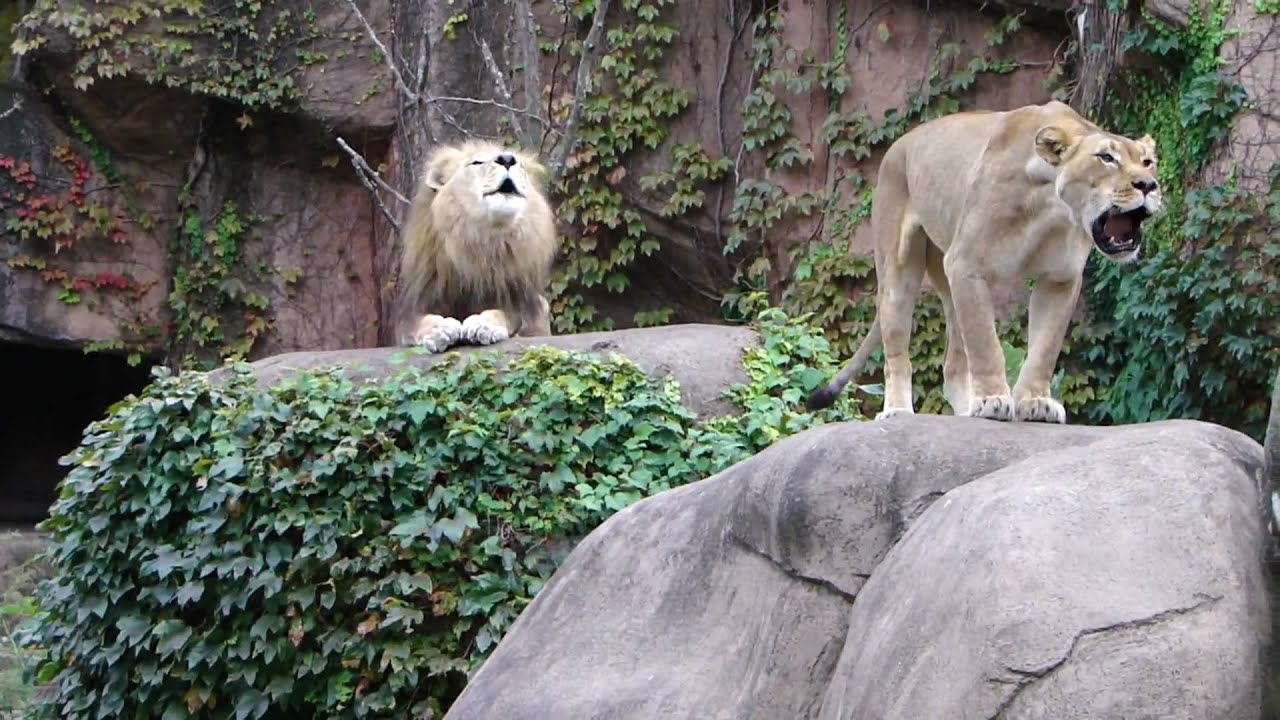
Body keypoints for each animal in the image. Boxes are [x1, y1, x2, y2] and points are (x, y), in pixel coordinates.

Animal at [393, 140, 559, 352]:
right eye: (477, 162)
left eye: (520, 164)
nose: (508, 159)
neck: (481, 241)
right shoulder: (418, 305)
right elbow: (416, 323)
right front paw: (439, 329)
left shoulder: (523, 306)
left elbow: (505, 314)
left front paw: (484, 325)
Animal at [807, 101, 1161, 423]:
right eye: (1106, 158)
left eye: (1147, 162)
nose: (1148, 184)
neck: (1052, 209)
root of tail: (898, 144)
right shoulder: (966, 265)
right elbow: (985, 343)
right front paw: (993, 400)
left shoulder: (1060, 279)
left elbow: (1044, 348)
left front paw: (1035, 403)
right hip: (900, 270)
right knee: (896, 351)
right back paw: (897, 410)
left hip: (949, 282)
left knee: (953, 364)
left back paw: (965, 411)